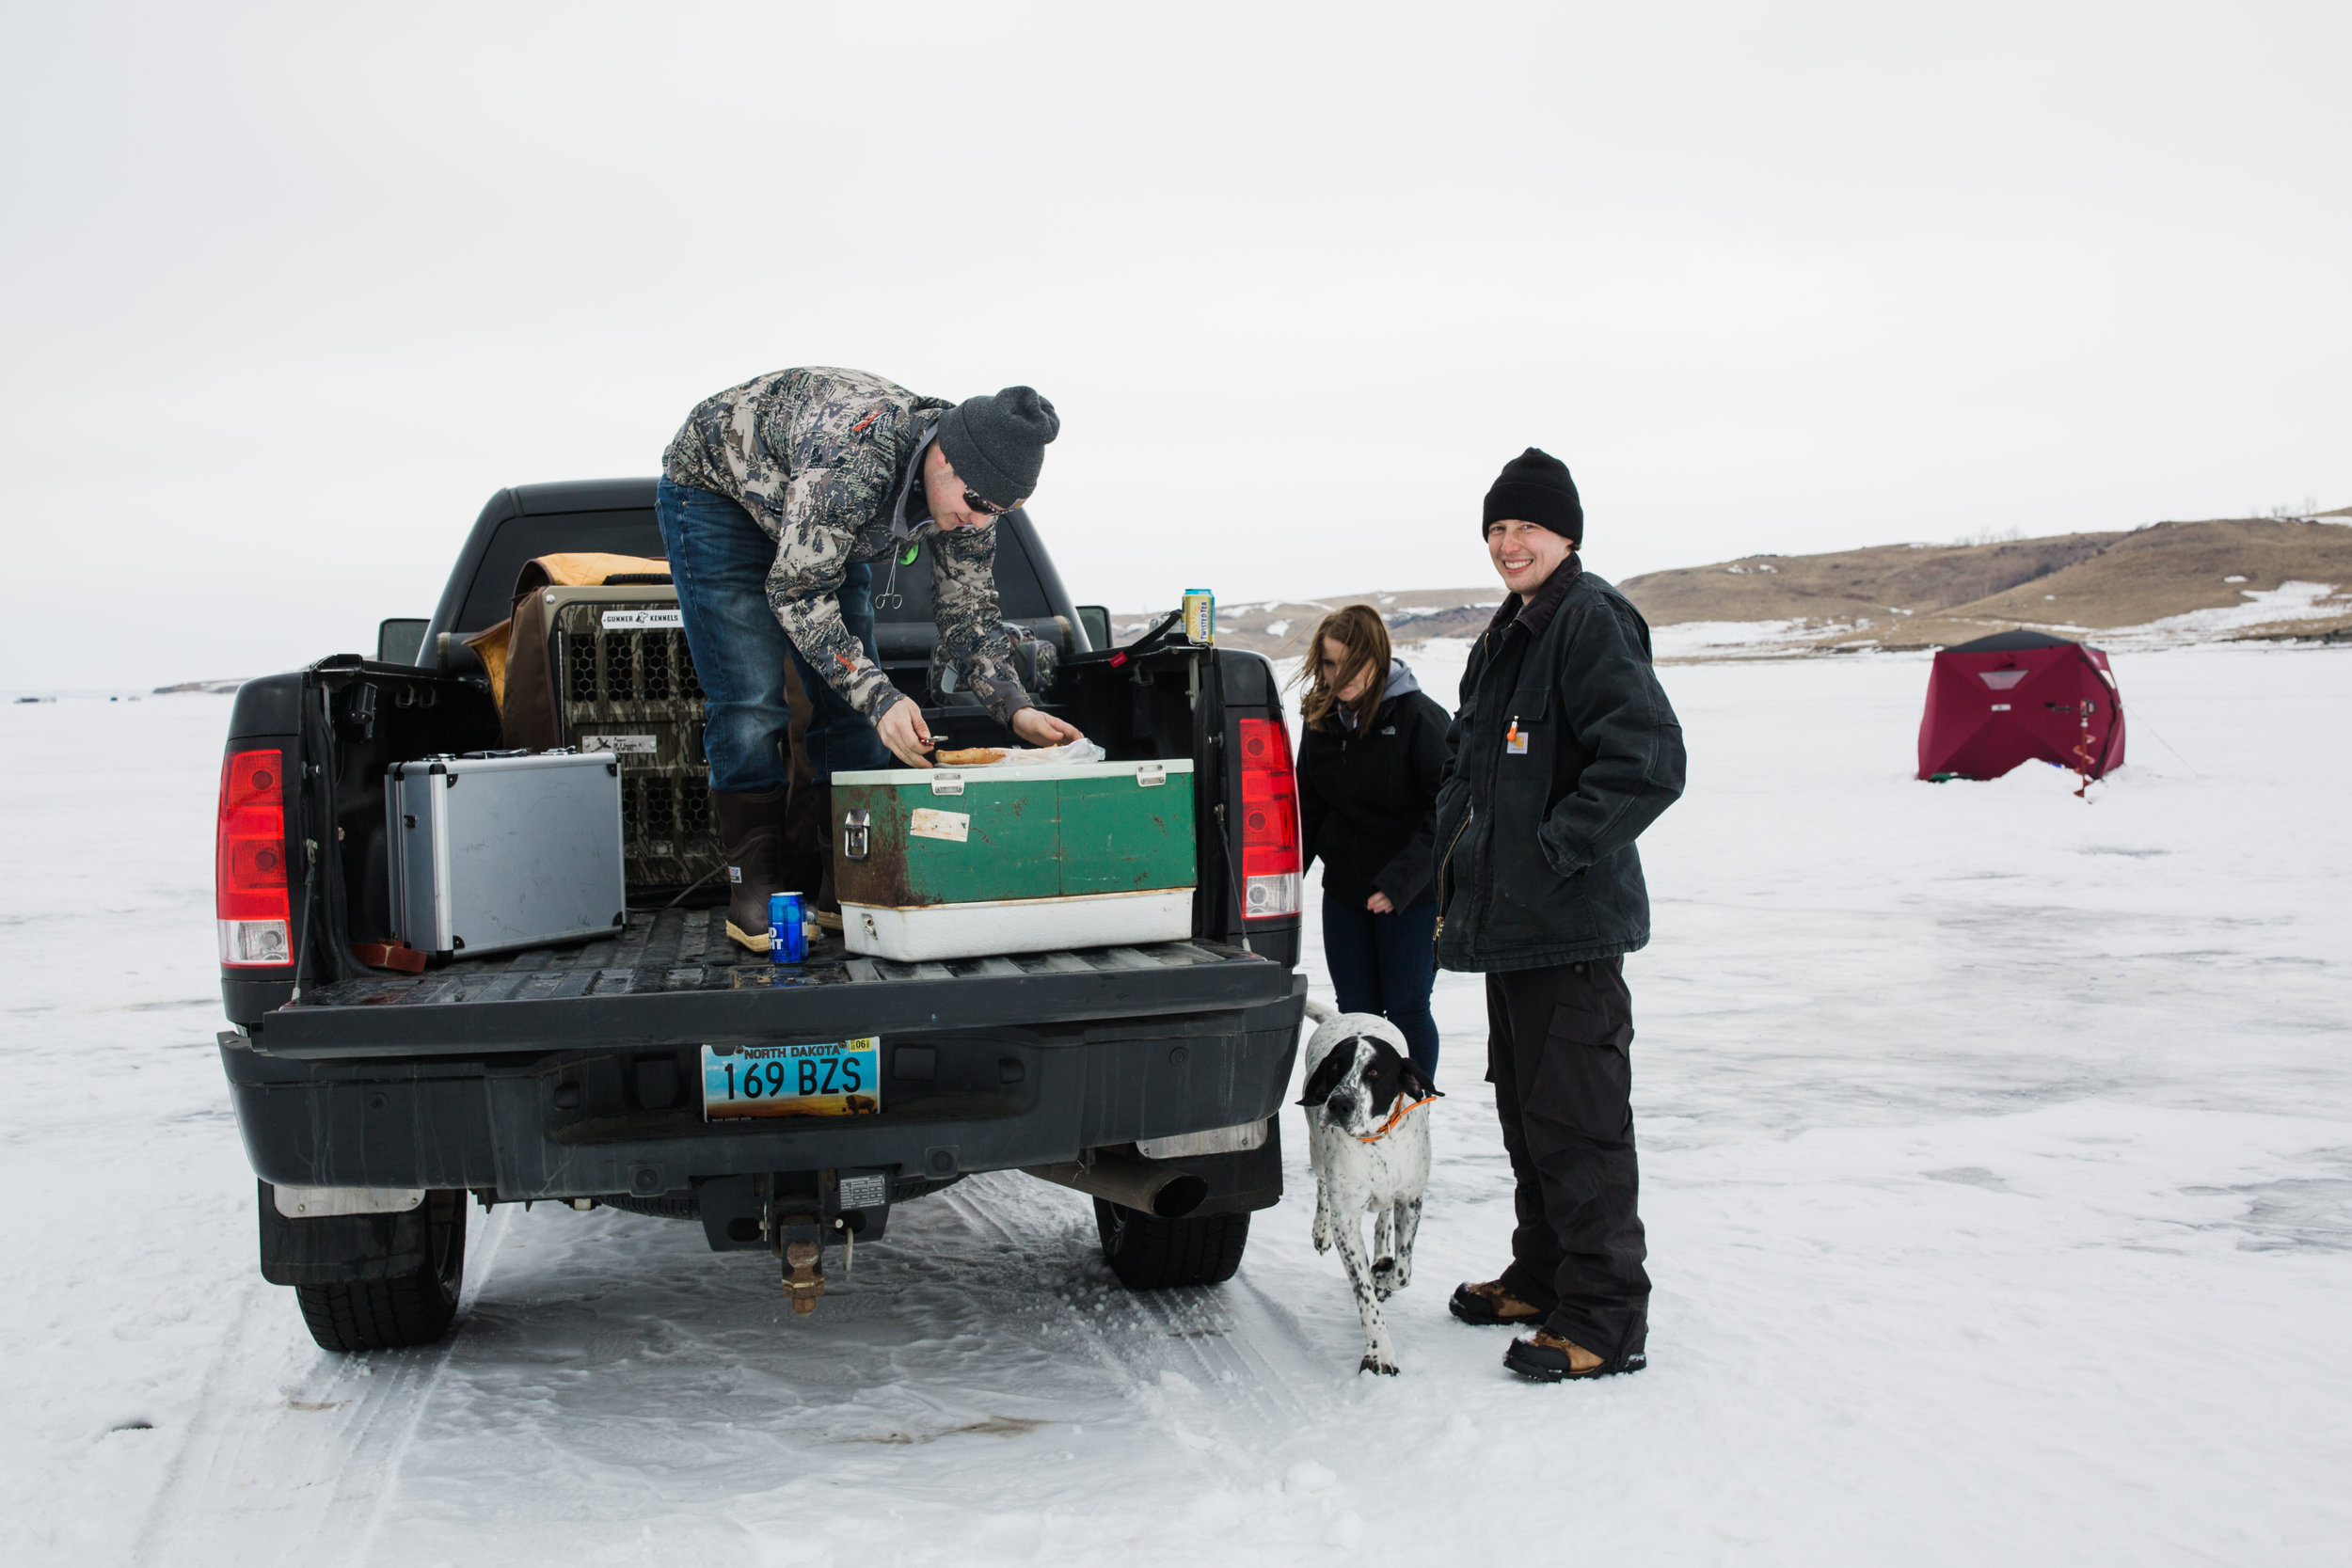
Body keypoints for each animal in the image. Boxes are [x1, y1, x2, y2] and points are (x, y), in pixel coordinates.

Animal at [1308, 1006, 1430, 1372]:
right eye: (1335, 1067)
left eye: (1374, 1072)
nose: (1339, 1104)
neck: (1375, 1140)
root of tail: (1347, 1014)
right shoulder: (1347, 1221)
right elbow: (1364, 1294)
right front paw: (1379, 1352)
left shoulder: (1411, 1199)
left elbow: (1403, 1271)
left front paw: (1383, 1272)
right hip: (1316, 1150)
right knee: (1321, 1183)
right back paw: (1321, 1229)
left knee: (1383, 1218)